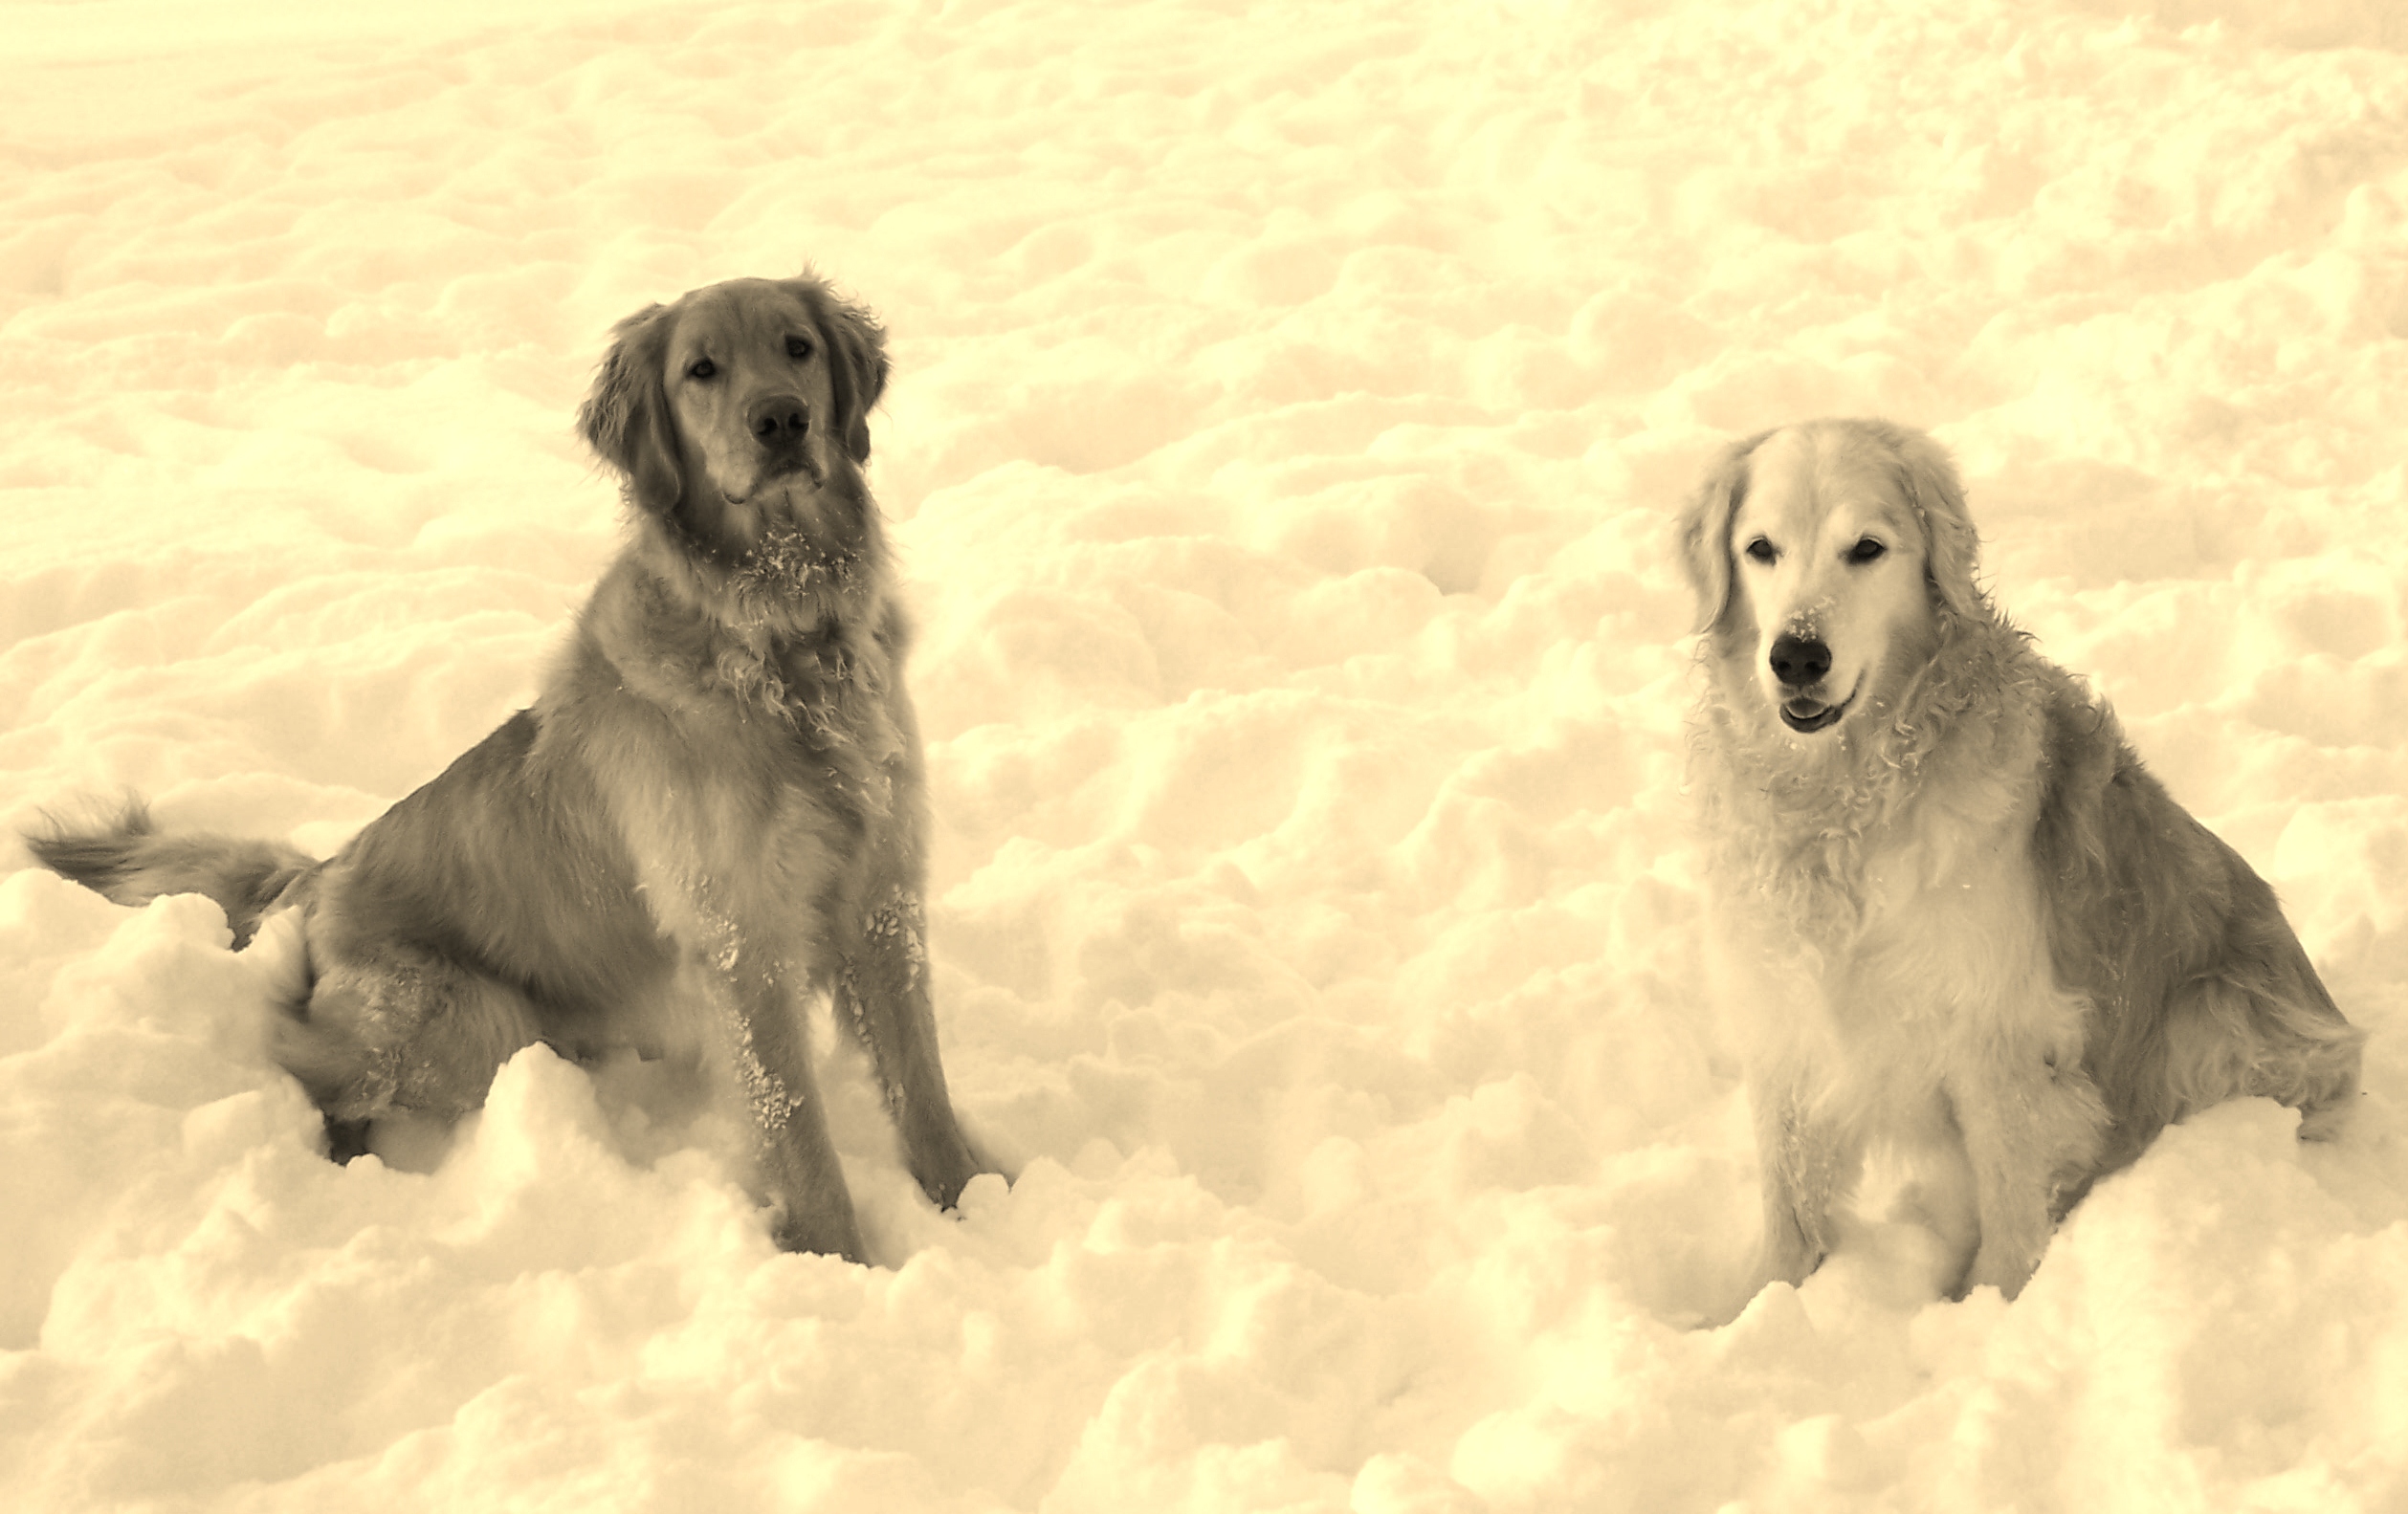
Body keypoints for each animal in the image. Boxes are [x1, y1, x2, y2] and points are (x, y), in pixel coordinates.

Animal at [27, 273, 991, 1263]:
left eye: (797, 346)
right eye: (702, 370)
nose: (782, 421)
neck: (784, 635)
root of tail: (323, 872)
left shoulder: (881, 891)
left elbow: (920, 1080)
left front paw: (976, 1202)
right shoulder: (740, 936)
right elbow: (794, 1124)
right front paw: (841, 1260)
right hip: (466, 1018)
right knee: (308, 1062)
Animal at [1679, 417, 2363, 1312]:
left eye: (1866, 548)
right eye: (1759, 548)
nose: (1796, 655)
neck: (1840, 799)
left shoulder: (1997, 1032)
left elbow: (2009, 1202)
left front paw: (1988, 1312)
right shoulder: (1785, 1016)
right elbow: (1788, 1202)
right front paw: (1763, 1308)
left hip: (2215, 1014)